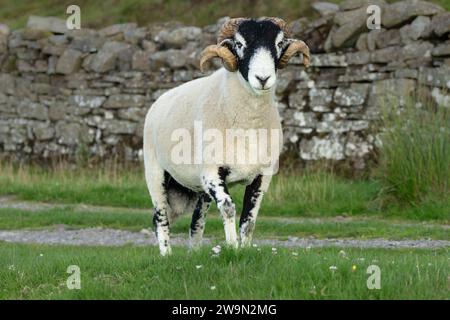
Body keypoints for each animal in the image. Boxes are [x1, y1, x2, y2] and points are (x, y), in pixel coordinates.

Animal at [143, 16, 310, 255]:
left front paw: (245, 250)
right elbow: (229, 208)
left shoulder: (263, 175)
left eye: (279, 43)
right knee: (160, 217)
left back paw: (194, 253)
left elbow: (250, 218)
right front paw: (233, 248)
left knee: (196, 219)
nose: (263, 78)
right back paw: (166, 255)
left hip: (195, 186)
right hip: (155, 172)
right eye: (239, 44)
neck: (248, 124)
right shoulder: (212, 172)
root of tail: (158, 101)